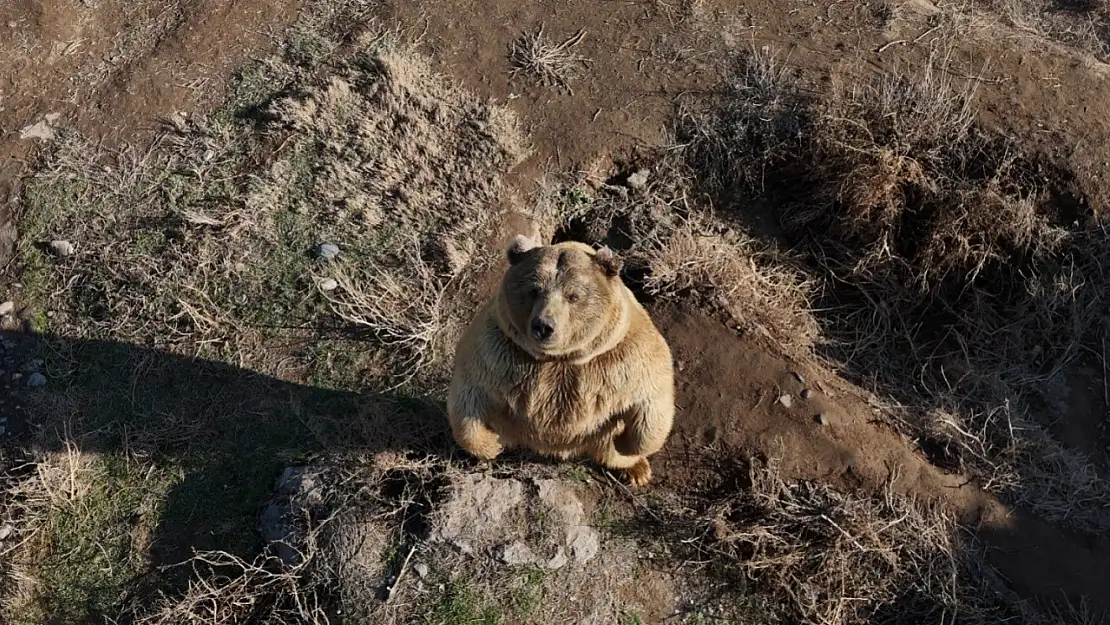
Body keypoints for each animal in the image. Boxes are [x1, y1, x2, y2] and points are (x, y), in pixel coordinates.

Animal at [444, 237, 670, 486]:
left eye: (573, 296)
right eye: (534, 290)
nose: (543, 326)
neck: (561, 358)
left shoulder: (619, 357)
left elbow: (652, 399)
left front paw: (627, 445)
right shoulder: (499, 351)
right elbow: (468, 398)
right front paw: (491, 444)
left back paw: (637, 470)